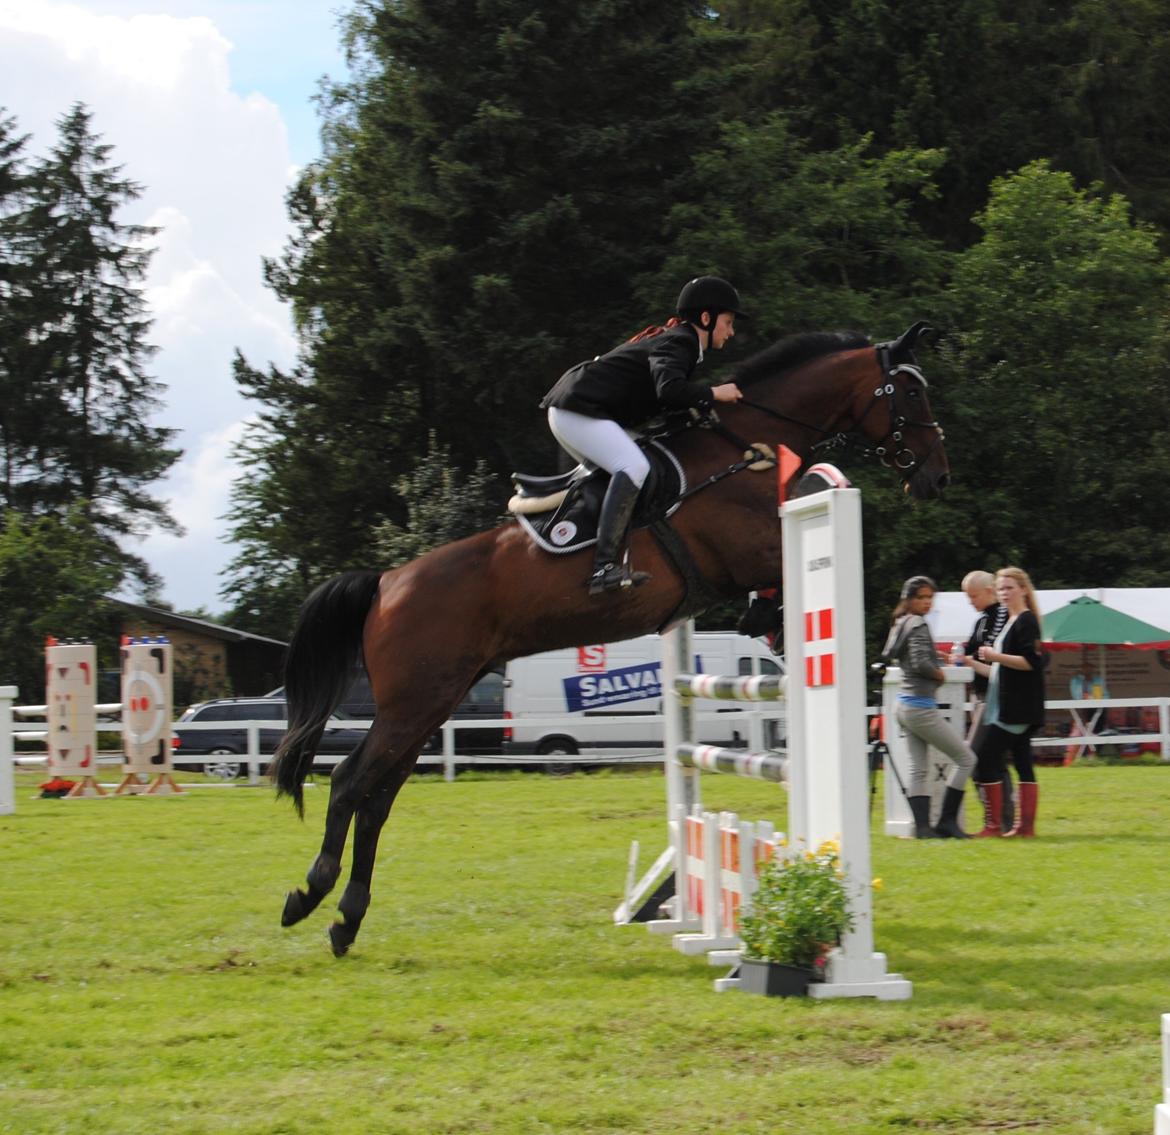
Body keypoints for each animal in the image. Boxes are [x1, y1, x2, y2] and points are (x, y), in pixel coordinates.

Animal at [269, 320, 945, 954]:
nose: (935, 475)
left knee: (378, 797)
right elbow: (777, 576)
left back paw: (347, 918)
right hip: (412, 704)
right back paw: (310, 894)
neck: (741, 447)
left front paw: (772, 625)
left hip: (430, 706)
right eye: (911, 391)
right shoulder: (749, 548)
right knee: (350, 782)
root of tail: (386, 582)